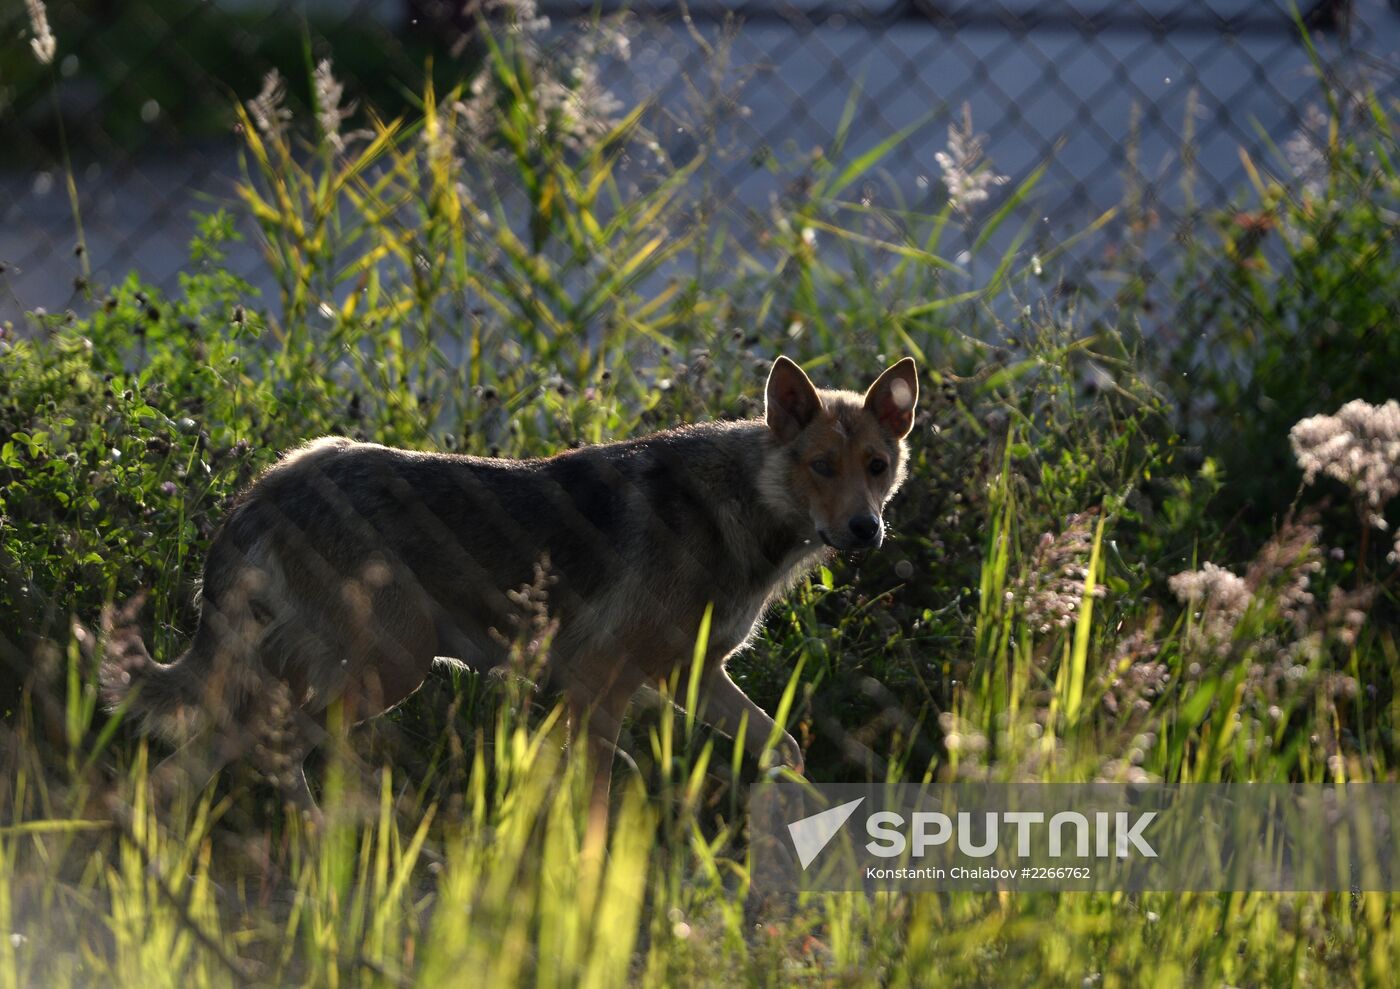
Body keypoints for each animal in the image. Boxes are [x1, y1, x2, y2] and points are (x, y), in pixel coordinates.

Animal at [103, 354, 924, 829]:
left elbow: (785, 749)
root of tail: (269, 483)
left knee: (203, 763)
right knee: (268, 748)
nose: (866, 530)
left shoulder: (688, 677)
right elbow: (596, 802)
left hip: (345, 675)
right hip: (392, 667)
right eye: (822, 466)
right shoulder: (599, 685)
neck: (742, 511)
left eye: (877, 466)